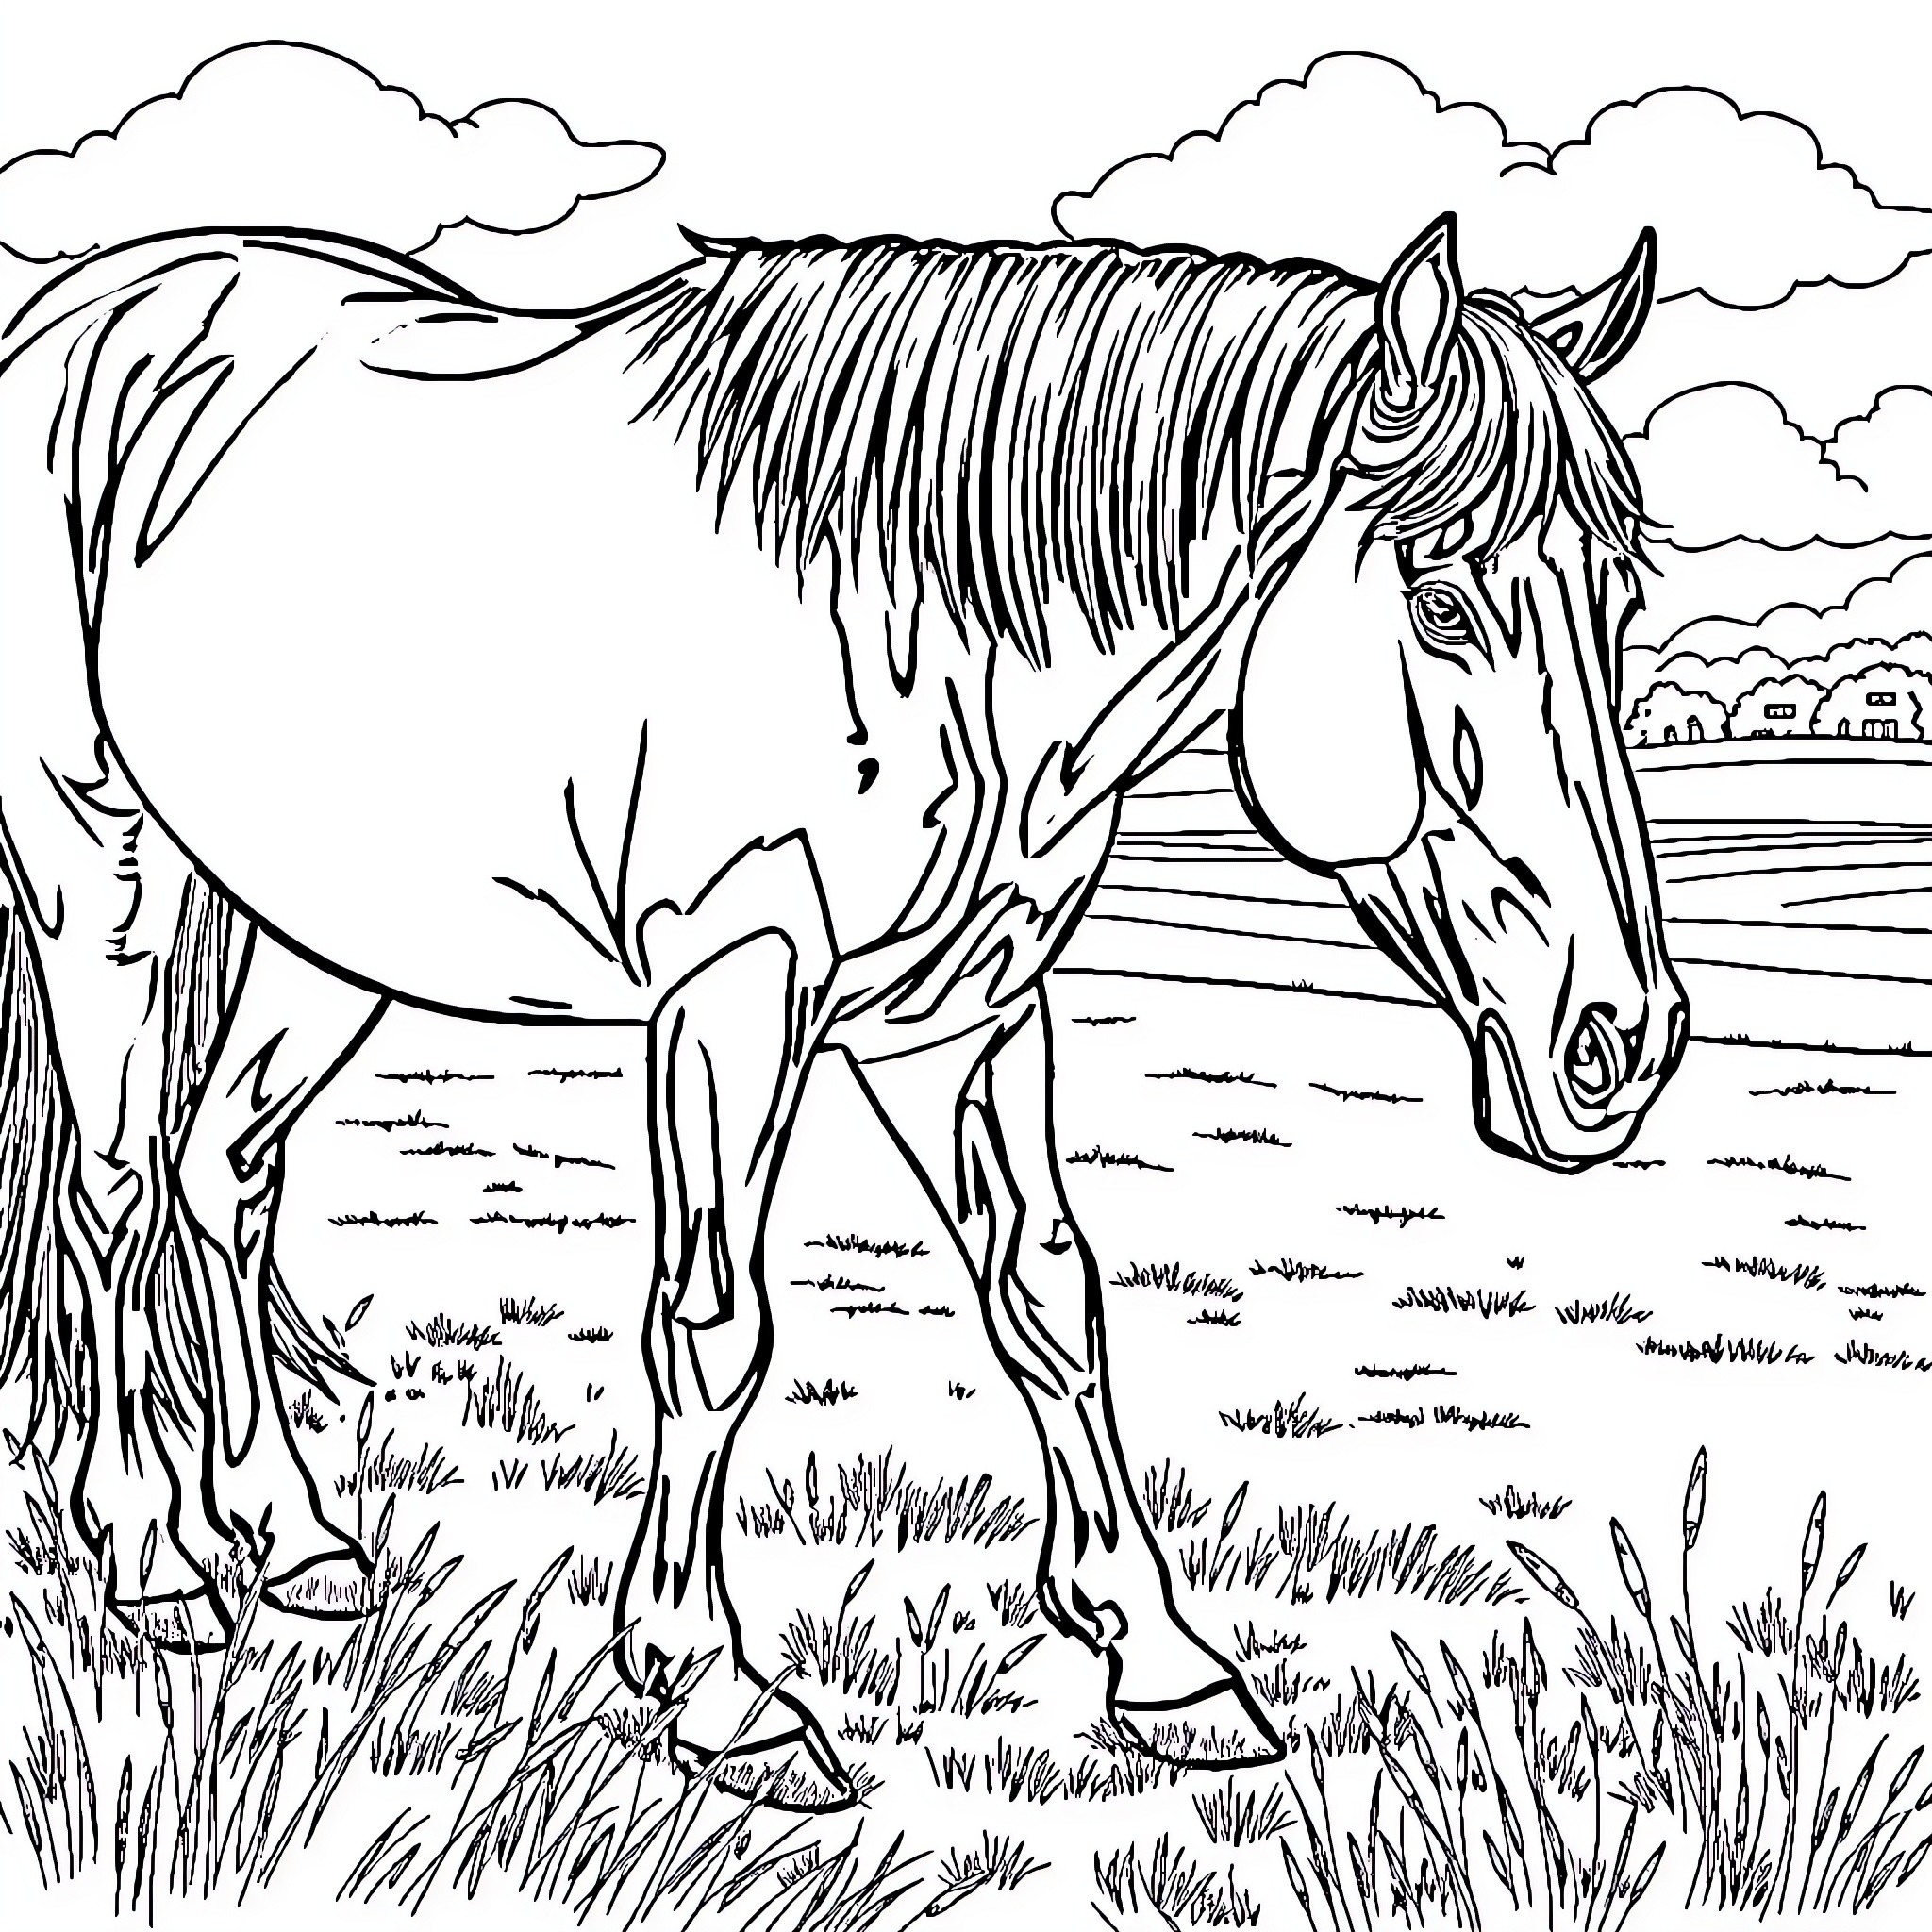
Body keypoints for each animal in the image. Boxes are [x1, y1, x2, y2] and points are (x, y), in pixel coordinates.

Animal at [0, 209, 1686, 1811]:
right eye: (1443, 597)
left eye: (1616, 595)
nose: (1622, 1043)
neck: (928, 628)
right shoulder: (734, 994)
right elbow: (715, 1324)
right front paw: (714, 1689)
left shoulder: (972, 1010)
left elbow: (1049, 1296)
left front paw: (1161, 1660)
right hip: (102, 870)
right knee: (114, 1190)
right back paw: (149, 1558)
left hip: (326, 932)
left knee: (221, 1171)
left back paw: (292, 1541)